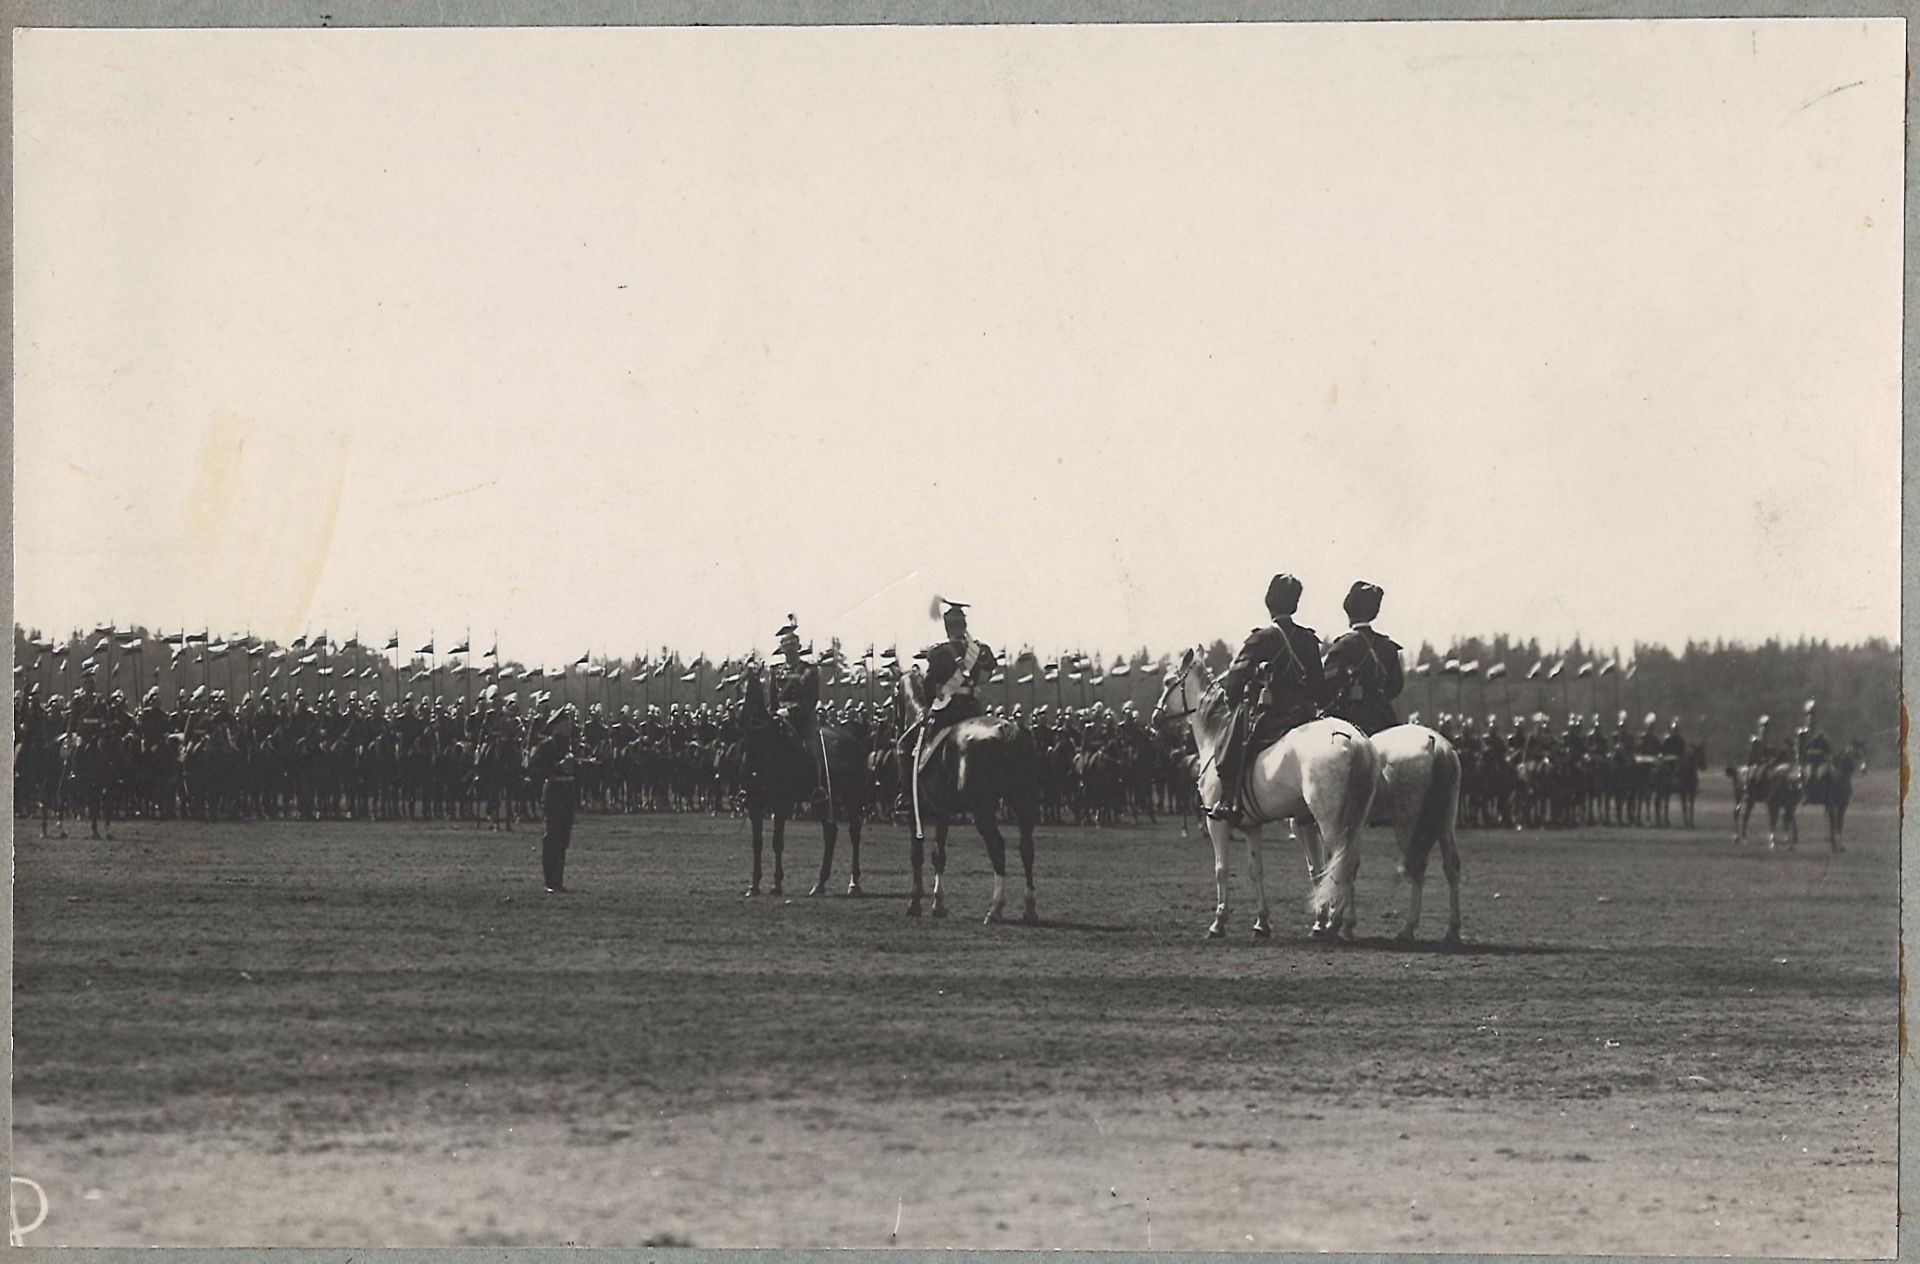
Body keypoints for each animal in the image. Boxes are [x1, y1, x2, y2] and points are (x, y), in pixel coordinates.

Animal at [1152, 649, 1382, 933]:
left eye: (1167, 681)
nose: (1155, 717)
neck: (1216, 737)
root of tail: (1352, 738)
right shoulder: (1252, 827)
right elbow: (1256, 870)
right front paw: (1262, 921)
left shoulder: (1216, 821)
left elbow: (1221, 868)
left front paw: (1219, 921)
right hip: (1354, 820)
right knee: (1349, 862)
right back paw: (1345, 923)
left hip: (1330, 821)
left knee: (1340, 861)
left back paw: (1334, 922)